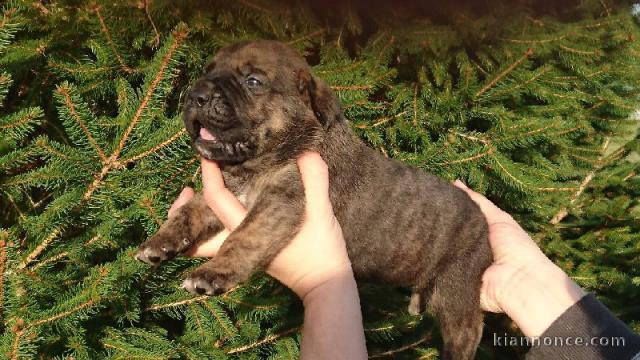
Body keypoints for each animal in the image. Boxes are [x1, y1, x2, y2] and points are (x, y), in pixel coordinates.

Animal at [138, 39, 492, 360]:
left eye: (252, 81)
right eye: (207, 71)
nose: (195, 95)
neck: (258, 163)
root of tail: (483, 221)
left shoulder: (283, 201)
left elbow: (244, 236)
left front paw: (214, 272)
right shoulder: (229, 190)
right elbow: (190, 210)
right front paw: (160, 242)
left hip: (457, 285)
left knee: (469, 328)